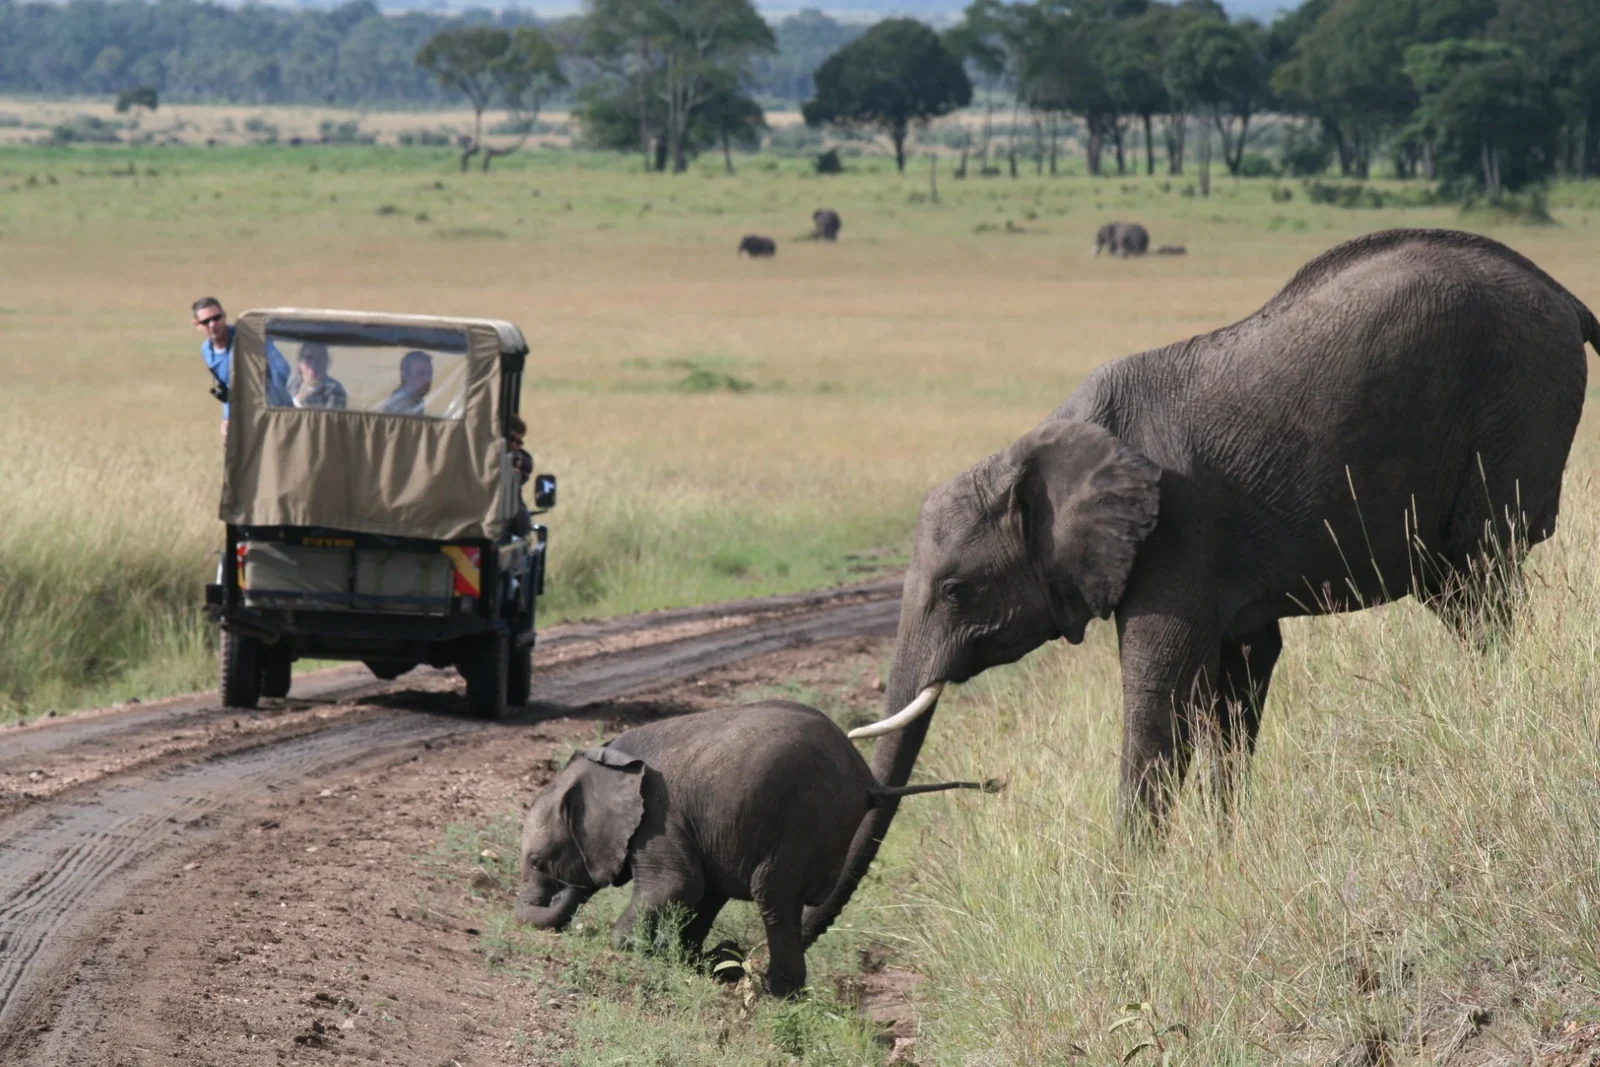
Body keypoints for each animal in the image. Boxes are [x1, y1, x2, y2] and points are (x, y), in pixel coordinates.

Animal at [515, 700, 996, 997]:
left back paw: (772, 991)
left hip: (806, 817)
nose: (558, 898)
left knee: (774, 897)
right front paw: (691, 959)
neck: (608, 761)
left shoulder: (658, 817)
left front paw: (633, 949)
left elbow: (677, 886)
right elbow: (705, 894)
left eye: (538, 861)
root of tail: (867, 779)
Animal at [798, 228, 1597, 949]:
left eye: (957, 590)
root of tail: (1566, 297)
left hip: (1515, 402)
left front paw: (1123, 897)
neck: (1042, 444)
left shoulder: (1177, 530)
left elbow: (1160, 691)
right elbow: (1237, 684)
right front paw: (1224, 851)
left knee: (1481, 579)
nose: (772, 957)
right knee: (1464, 596)